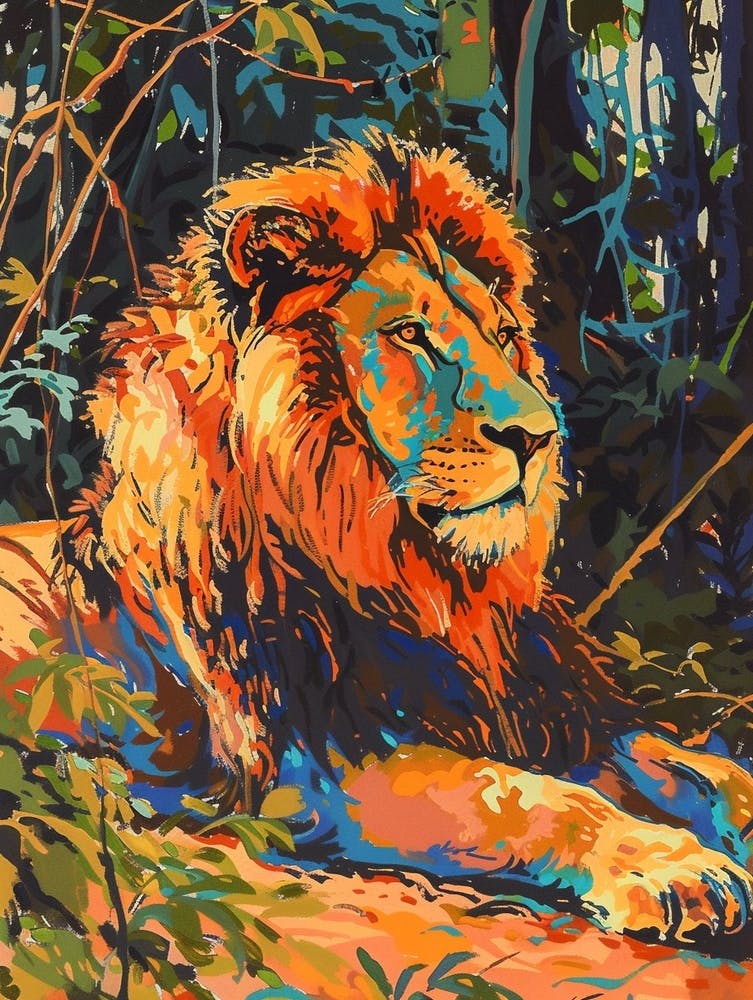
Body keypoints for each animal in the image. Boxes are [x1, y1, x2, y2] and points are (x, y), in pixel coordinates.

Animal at [2, 134, 753, 951]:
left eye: (502, 336)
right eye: (409, 334)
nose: (537, 436)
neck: (421, 582)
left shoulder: (550, 708)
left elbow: (690, 765)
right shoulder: (319, 770)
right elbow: (526, 795)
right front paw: (675, 864)